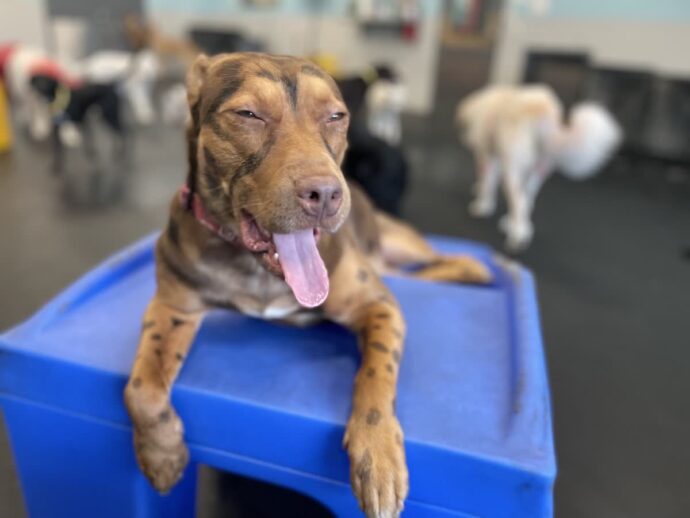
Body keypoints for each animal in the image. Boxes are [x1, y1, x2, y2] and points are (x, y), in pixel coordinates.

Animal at [123, 52, 491, 518]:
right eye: (248, 114)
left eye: (336, 116)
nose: (327, 194)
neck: (256, 268)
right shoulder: (172, 308)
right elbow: (141, 388)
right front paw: (162, 453)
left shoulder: (378, 304)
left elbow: (378, 374)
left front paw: (378, 455)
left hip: (398, 239)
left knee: (430, 258)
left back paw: (473, 267)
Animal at [457, 84, 622, 251]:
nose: (466, 139)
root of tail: (543, 112)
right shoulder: (495, 157)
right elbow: (488, 182)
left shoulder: (486, 156)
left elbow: (487, 184)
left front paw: (482, 206)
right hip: (540, 168)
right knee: (527, 199)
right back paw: (513, 224)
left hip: (512, 169)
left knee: (520, 201)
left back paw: (517, 236)